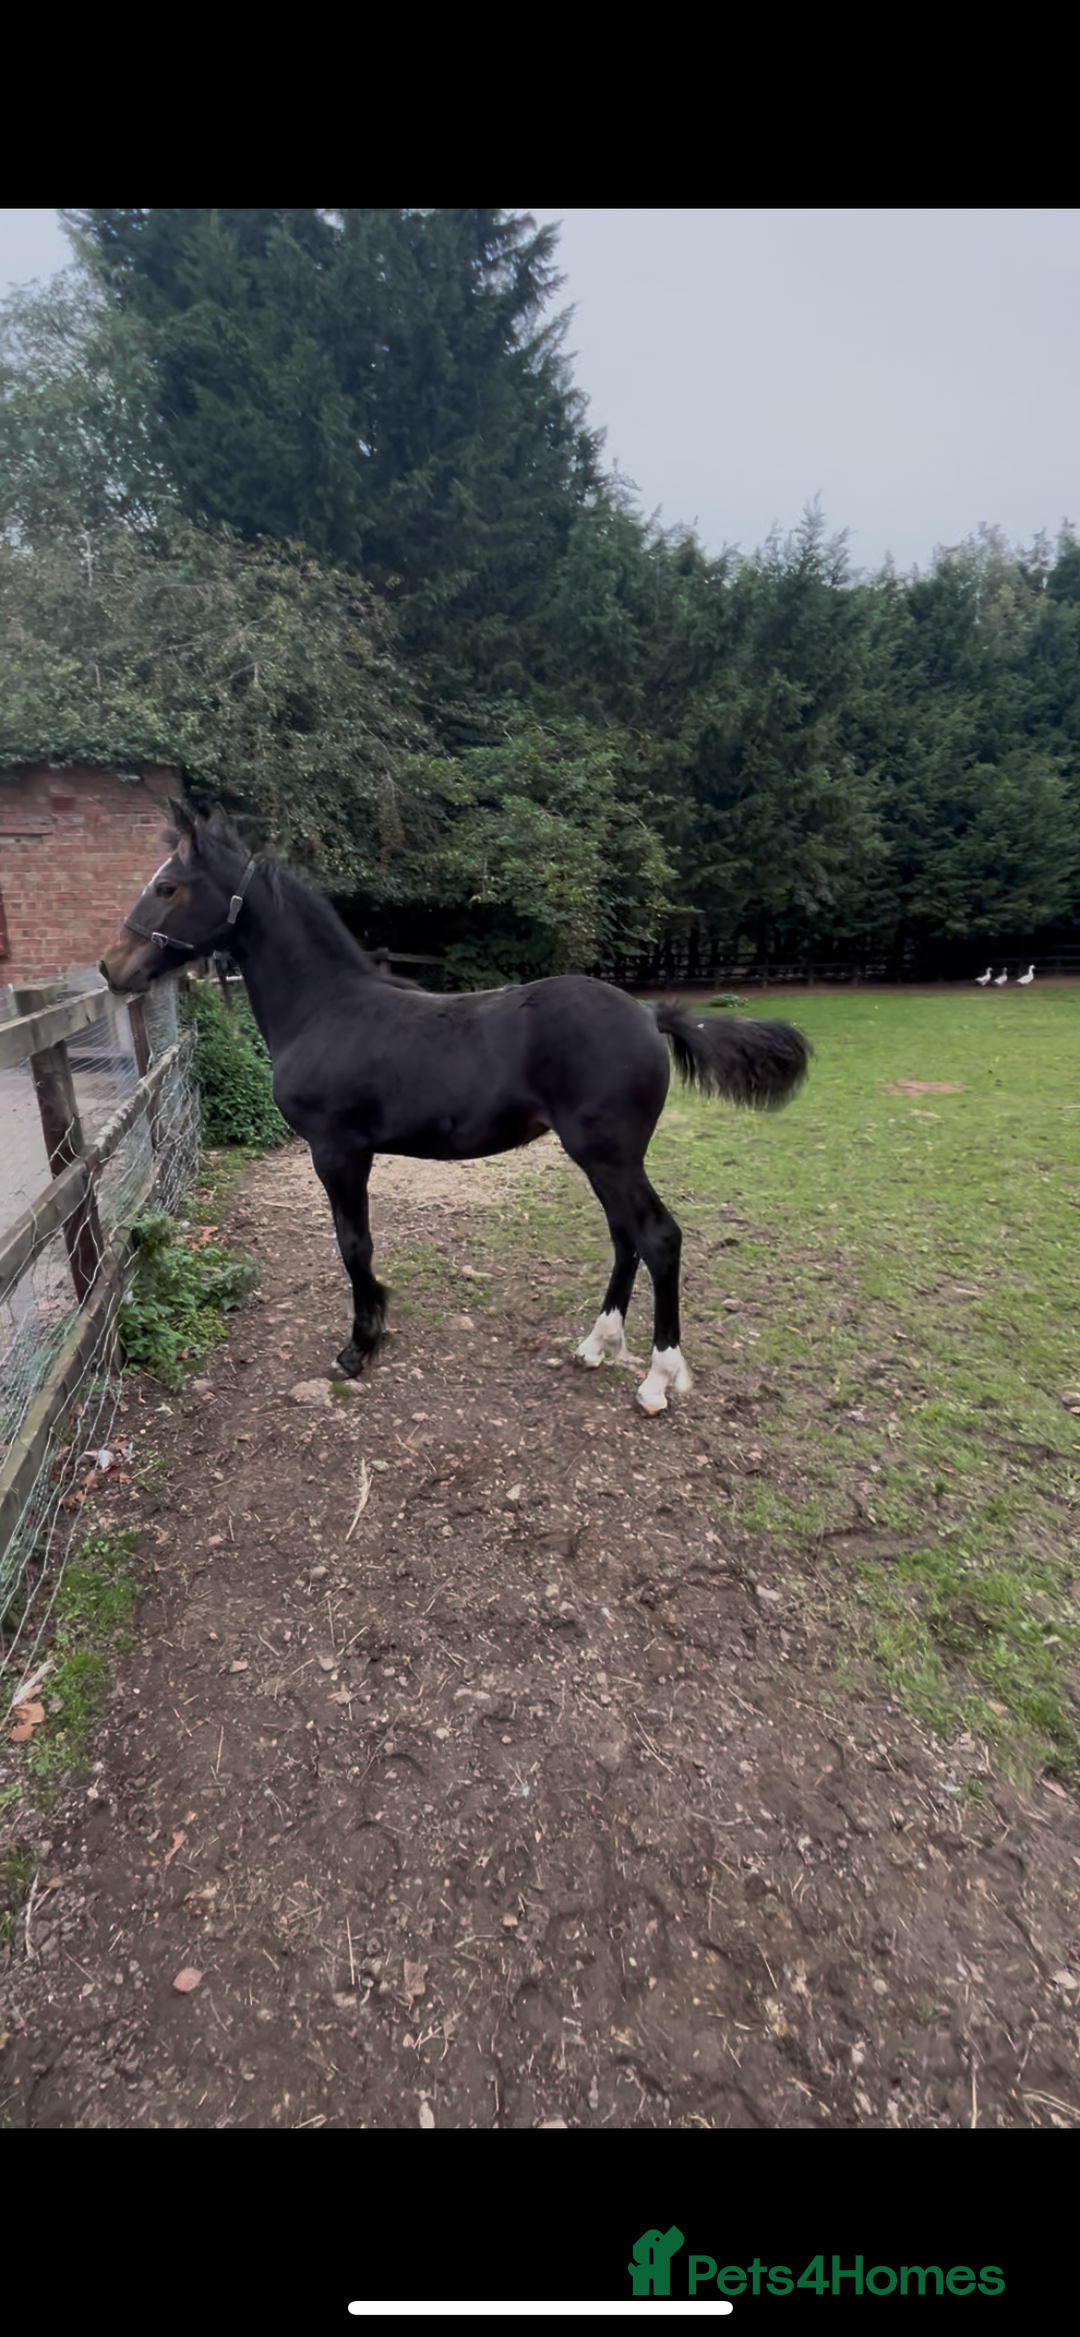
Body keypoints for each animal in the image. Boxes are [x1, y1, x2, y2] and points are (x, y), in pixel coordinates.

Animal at [101, 803, 812, 1414]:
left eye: (168, 887)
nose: (112, 968)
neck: (326, 1010)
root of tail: (648, 1014)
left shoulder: (337, 1151)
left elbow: (353, 1244)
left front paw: (359, 1347)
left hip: (608, 1155)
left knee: (658, 1238)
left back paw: (658, 1379)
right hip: (605, 1159)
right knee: (625, 1238)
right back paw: (595, 1345)